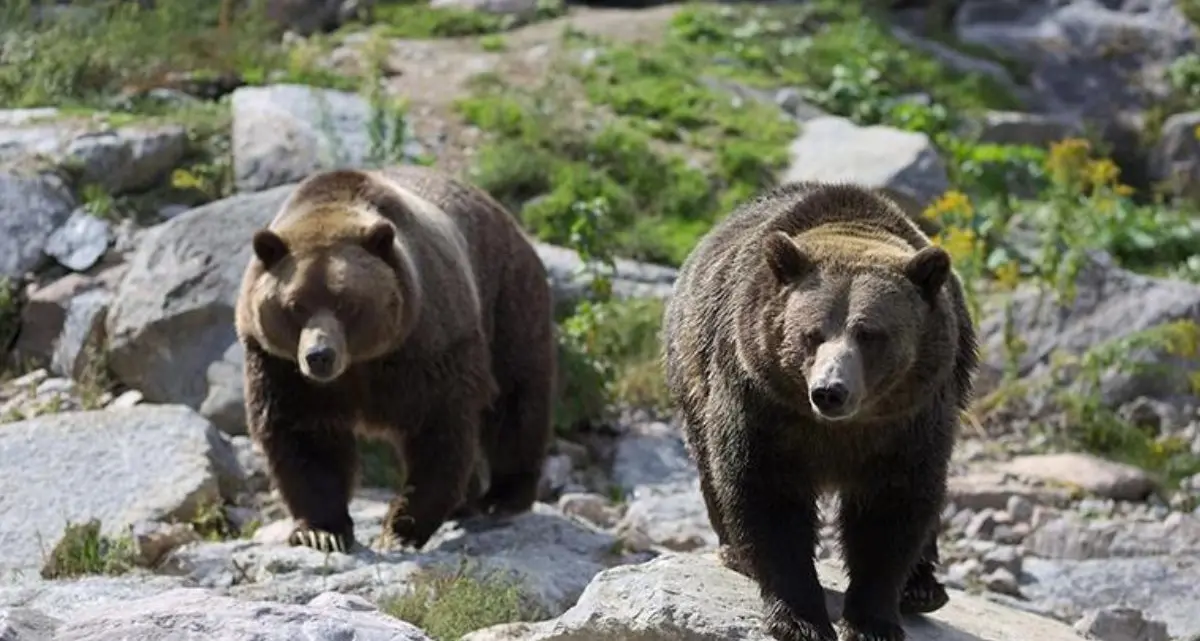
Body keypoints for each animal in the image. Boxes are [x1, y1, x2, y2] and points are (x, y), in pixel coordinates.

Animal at [234, 164, 556, 552]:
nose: (319, 356)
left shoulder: (426, 345)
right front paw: (322, 531)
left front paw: (399, 528)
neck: (360, 363)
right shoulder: (279, 365)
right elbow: (303, 436)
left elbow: (440, 427)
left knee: (517, 397)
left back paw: (503, 496)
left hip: (507, 296)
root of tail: (504, 214)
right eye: (295, 305)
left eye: (347, 303)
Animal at [662, 181, 979, 641]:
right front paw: (800, 619)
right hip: (691, 374)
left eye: (870, 334)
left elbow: (893, 507)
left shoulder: (909, 420)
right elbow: (766, 494)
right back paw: (735, 552)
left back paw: (922, 588)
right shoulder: (761, 403)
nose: (830, 392)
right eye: (811, 334)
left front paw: (872, 621)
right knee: (709, 462)